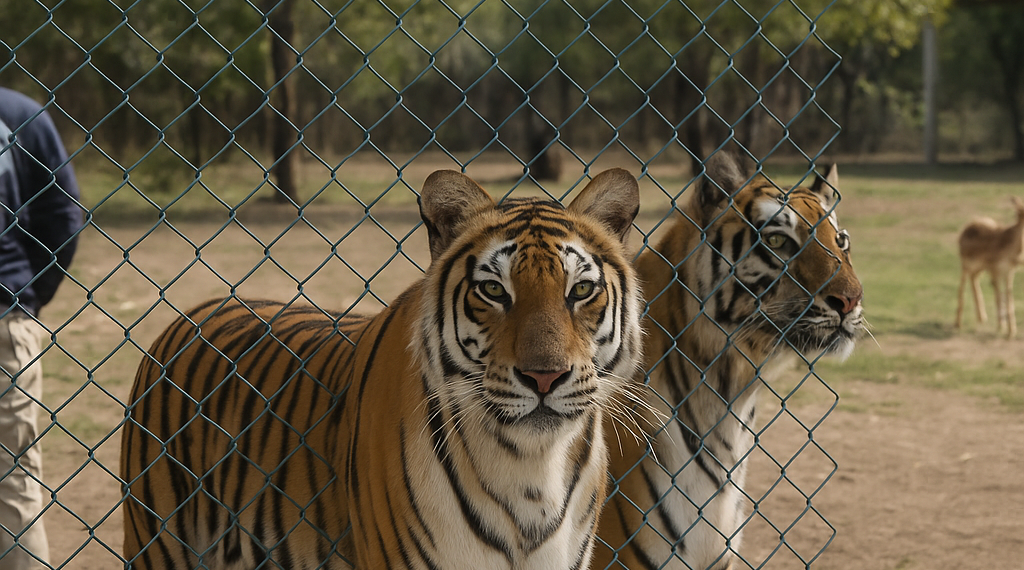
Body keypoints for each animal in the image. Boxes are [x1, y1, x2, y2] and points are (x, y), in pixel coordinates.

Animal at [119, 167, 646, 570]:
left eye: (581, 290)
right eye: (494, 290)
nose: (544, 377)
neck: (531, 466)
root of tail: (192, 313)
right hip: (157, 541)